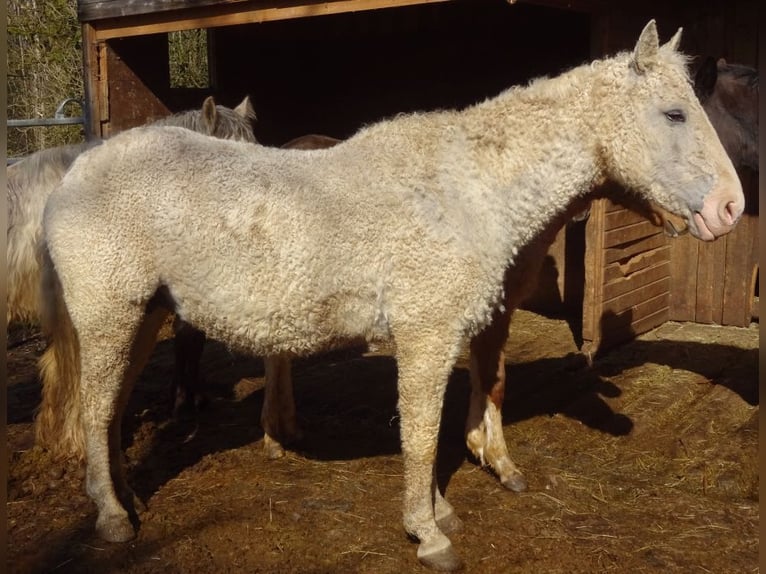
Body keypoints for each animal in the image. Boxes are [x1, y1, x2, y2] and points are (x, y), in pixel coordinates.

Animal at [42, 22, 744, 572]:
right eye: (675, 114)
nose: (730, 208)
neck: (465, 187)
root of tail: (74, 176)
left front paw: (441, 510)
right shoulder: (426, 337)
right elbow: (423, 434)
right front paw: (428, 534)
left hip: (141, 317)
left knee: (110, 411)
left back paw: (126, 500)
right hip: (110, 318)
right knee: (97, 411)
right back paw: (113, 518)